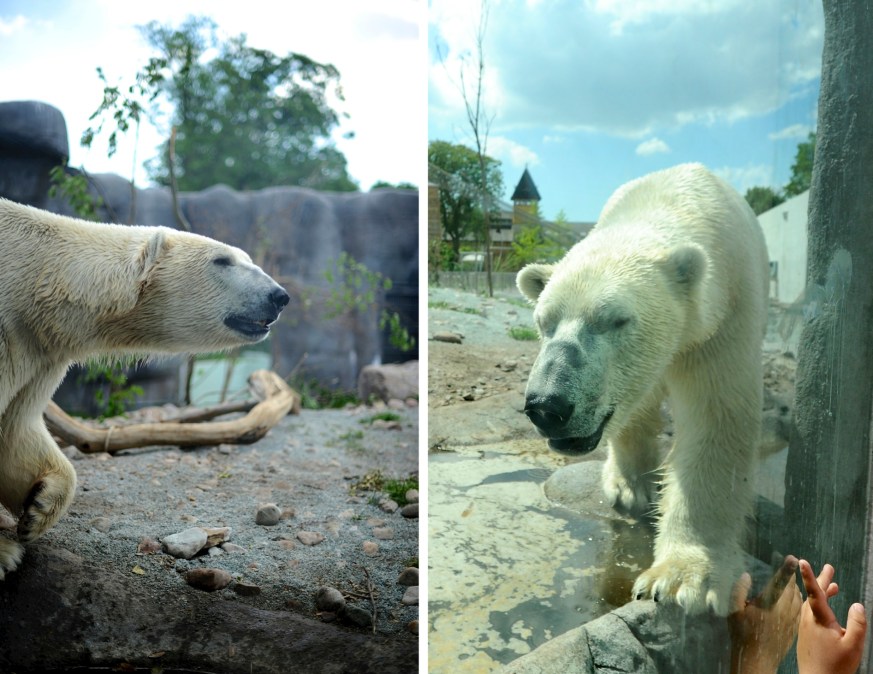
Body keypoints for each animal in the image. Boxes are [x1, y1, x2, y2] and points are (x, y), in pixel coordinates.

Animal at [0, 198, 290, 579]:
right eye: (223, 261)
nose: (280, 296)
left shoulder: (37, 351)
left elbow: (16, 428)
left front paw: (37, 509)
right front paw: (5, 553)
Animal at [516, 163, 769, 616]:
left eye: (616, 320)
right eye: (543, 321)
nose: (547, 405)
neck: (668, 198)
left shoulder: (726, 315)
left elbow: (717, 416)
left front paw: (683, 580)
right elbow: (634, 405)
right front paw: (630, 488)